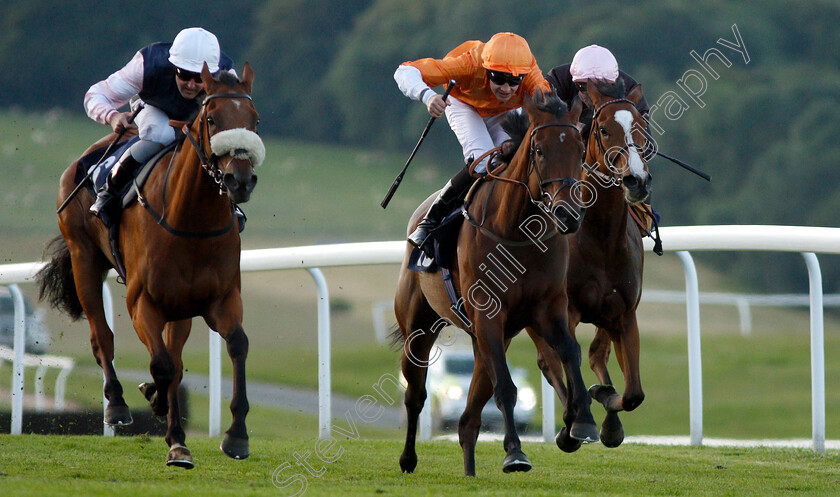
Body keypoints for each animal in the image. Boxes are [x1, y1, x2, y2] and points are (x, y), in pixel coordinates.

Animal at [37, 64, 262, 466]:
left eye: (254, 119)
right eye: (212, 118)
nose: (241, 179)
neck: (192, 222)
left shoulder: (220, 299)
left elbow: (235, 345)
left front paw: (235, 435)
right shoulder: (143, 302)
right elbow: (161, 366)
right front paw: (159, 411)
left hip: (180, 308)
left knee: (174, 356)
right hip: (84, 260)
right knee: (102, 337)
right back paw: (117, 404)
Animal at [394, 90, 596, 476]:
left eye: (581, 150)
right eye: (539, 150)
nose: (568, 215)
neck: (517, 231)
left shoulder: (548, 308)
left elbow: (569, 351)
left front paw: (581, 423)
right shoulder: (489, 313)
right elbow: (506, 386)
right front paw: (515, 452)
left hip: (488, 336)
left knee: (469, 417)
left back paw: (470, 468)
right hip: (420, 327)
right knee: (416, 394)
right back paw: (408, 458)